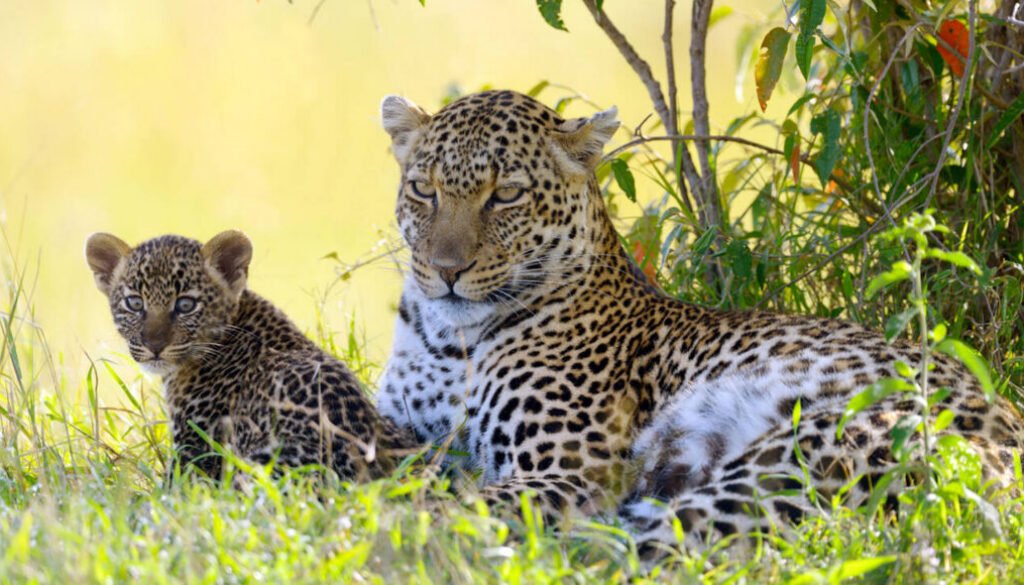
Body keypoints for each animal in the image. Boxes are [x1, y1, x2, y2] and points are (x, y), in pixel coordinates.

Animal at [375, 89, 1024, 551]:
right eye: (424, 190)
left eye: (506, 195)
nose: (446, 269)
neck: (447, 341)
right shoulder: (400, 431)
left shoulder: (571, 472)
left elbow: (444, 506)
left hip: (805, 450)